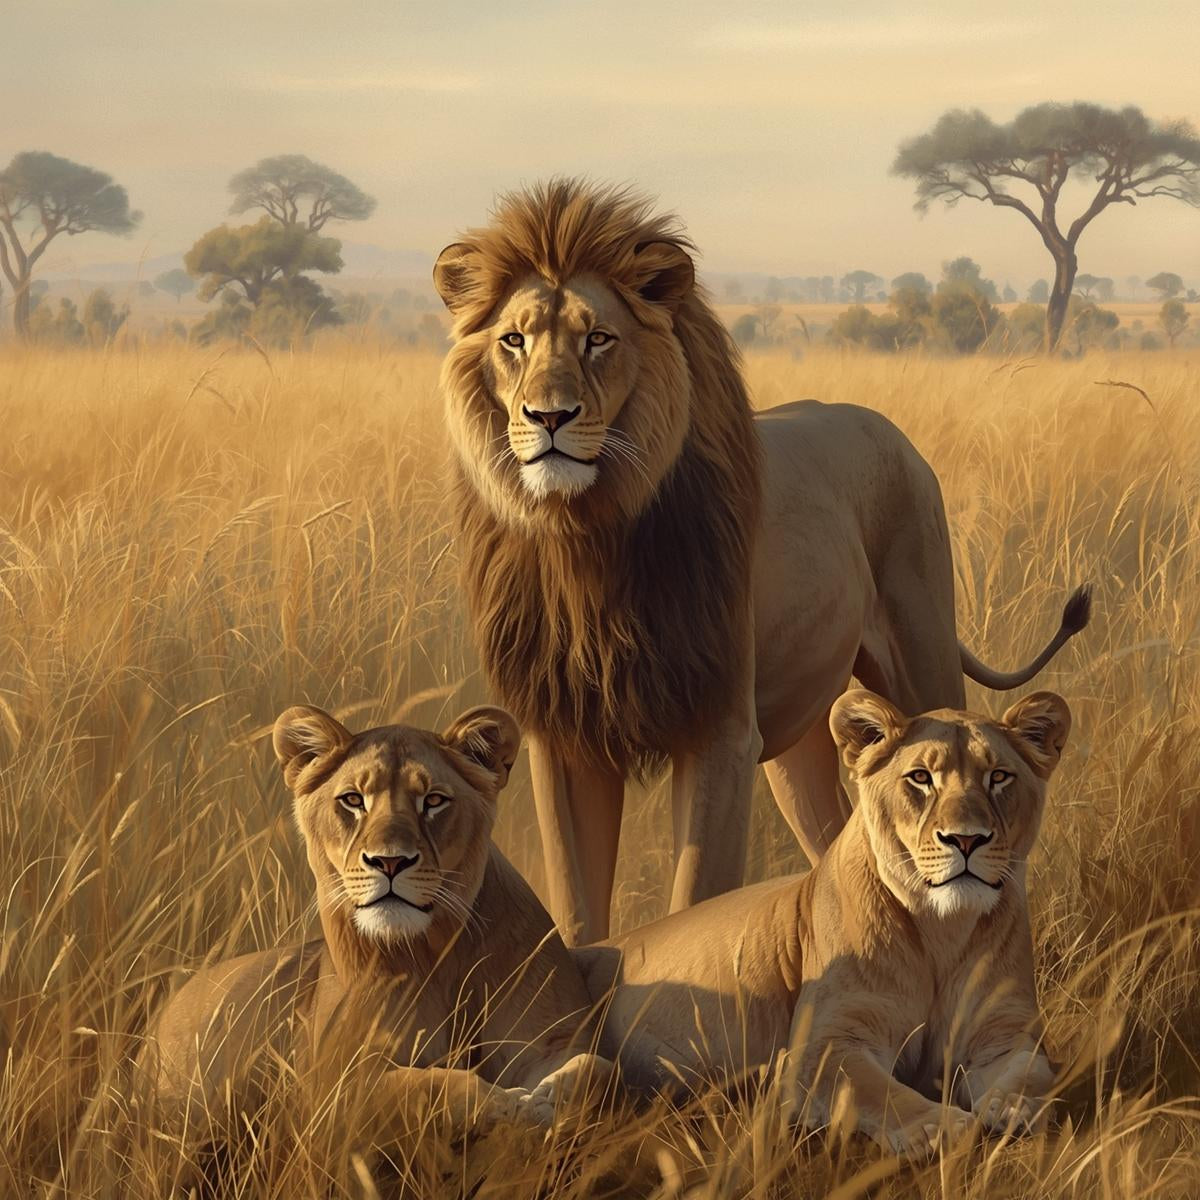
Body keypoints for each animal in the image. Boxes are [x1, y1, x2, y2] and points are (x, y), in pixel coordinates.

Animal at [137, 704, 614, 1144]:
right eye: (352, 800)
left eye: (434, 801)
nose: (389, 861)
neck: (437, 952)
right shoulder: (327, 1092)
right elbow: (422, 1086)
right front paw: (500, 1104)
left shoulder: (554, 1040)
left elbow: (598, 1070)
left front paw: (545, 1102)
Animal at [434, 177, 1090, 945]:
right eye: (513, 340)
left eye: (599, 339)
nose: (549, 417)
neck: (586, 539)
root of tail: (896, 436)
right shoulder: (564, 741)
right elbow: (575, 910)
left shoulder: (719, 731)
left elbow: (694, 897)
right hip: (804, 740)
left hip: (922, 664)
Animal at [577, 689, 1069, 1157]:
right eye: (920, 778)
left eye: (999, 777)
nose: (966, 839)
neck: (941, 929)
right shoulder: (825, 1043)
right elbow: (879, 1092)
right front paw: (939, 1127)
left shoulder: (1004, 1031)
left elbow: (1031, 1074)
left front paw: (1013, 1108)